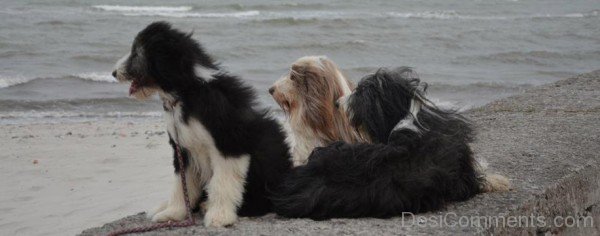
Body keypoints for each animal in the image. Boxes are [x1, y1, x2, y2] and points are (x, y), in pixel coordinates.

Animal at [113, 21, 292, 227]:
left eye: (136, 53)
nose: (113, 73)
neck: (188, 92)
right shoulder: (182, 149)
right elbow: (181, 184)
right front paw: (173, 213)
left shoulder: (229, 144)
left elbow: (222, 183)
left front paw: (219, 216)